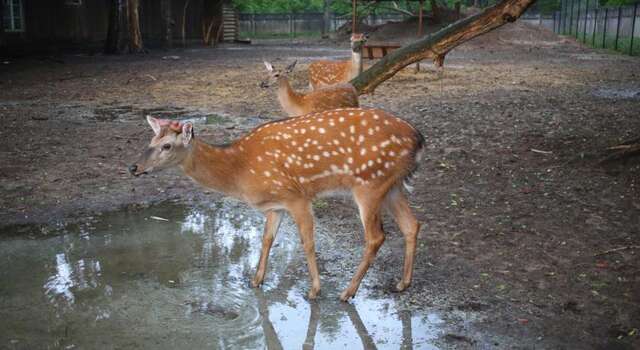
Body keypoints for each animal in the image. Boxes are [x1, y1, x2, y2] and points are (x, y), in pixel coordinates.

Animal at [127, 109, 422, 300]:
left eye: (166, 145)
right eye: (150, 140)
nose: (134, 167)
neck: (240, 171)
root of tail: (418, 139)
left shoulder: (296, 196)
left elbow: (307, 242)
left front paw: (314, 290)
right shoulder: (275, 205)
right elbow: (267, 239)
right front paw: (256, 280)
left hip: (369, 183)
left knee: (376, 237)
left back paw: (347, 292)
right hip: (392, 185)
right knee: (412, 224)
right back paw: (402, 283)